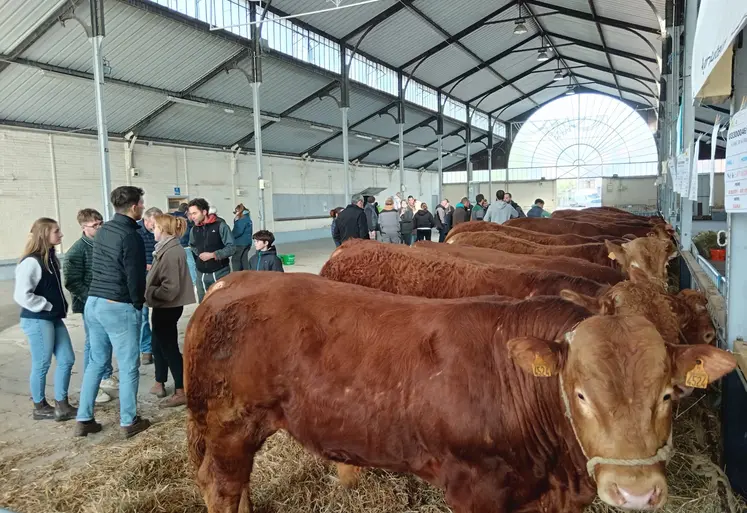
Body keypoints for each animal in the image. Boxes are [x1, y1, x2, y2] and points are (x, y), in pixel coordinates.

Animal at [184, 274, 732, 512]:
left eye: (669, 394)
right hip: (229, 423)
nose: (636, 492)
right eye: (579, 394)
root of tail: (229, 282)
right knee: (220, 486)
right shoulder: (476, 487)